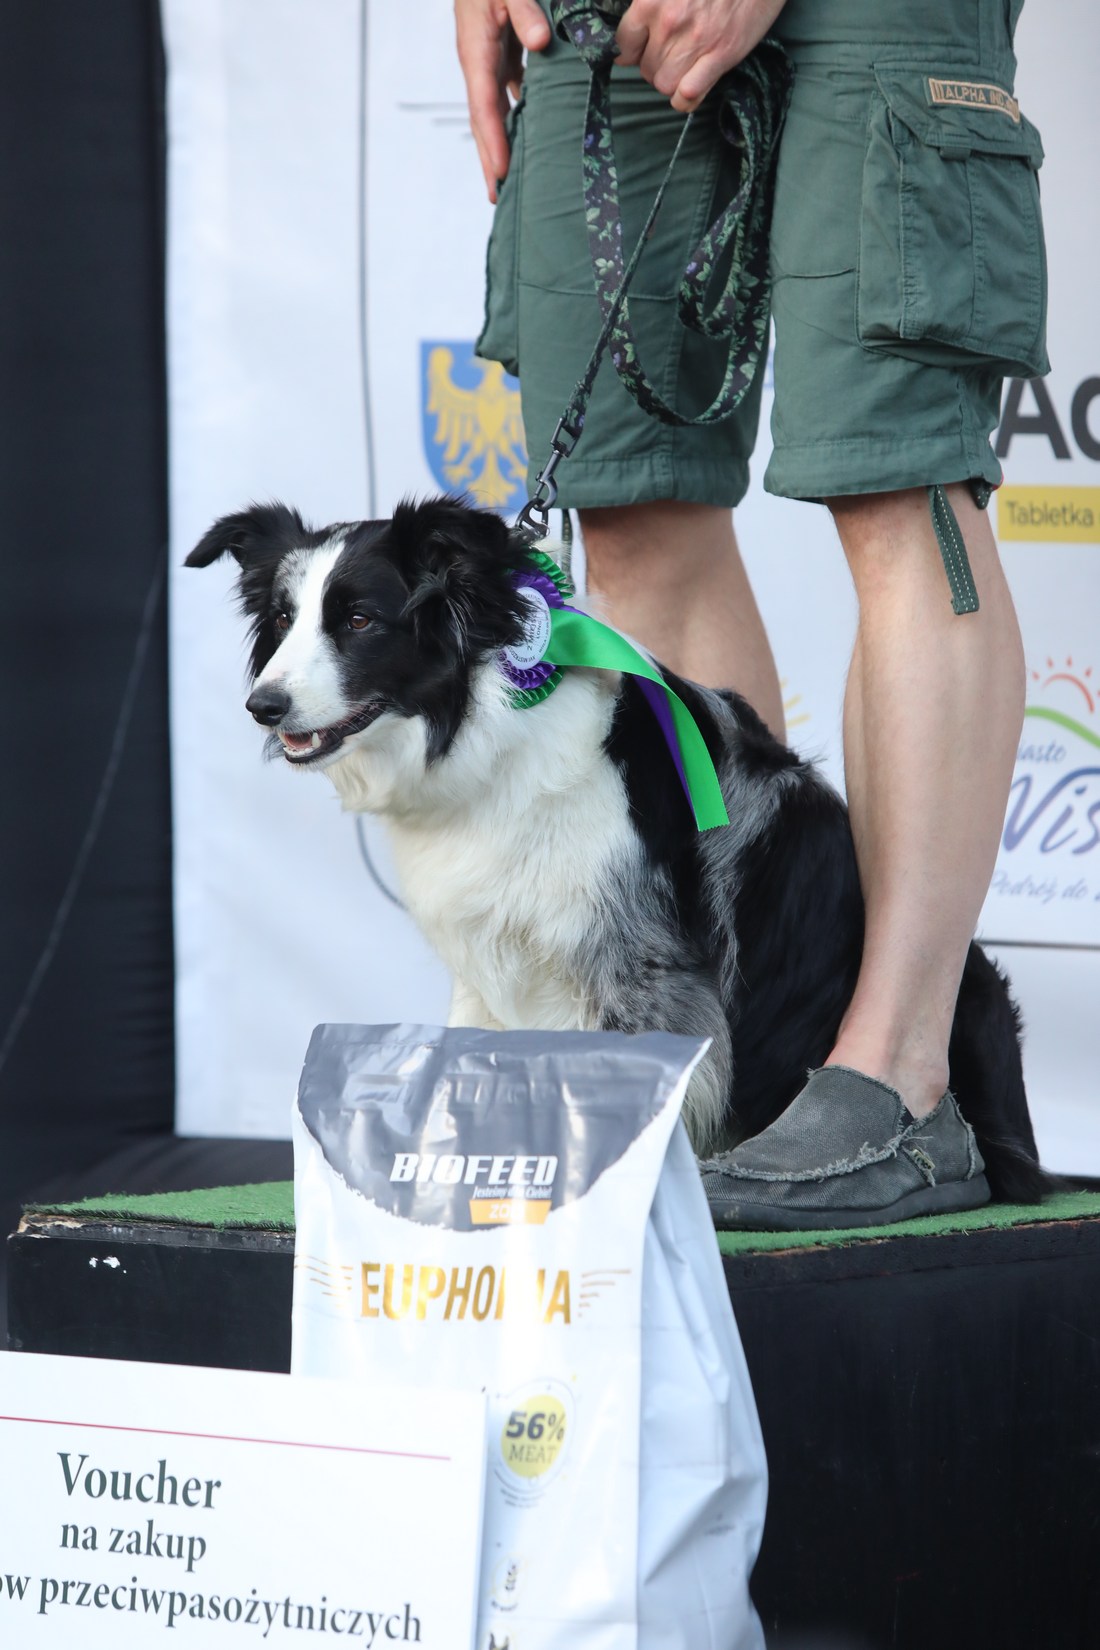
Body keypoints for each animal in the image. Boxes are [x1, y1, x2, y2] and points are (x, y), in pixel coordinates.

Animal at [187, 495, 1044, 1202]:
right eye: (282, 619)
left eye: (360, 620)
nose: (264, 705)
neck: (484, 728)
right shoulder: (487, 946)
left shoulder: (637, 959)